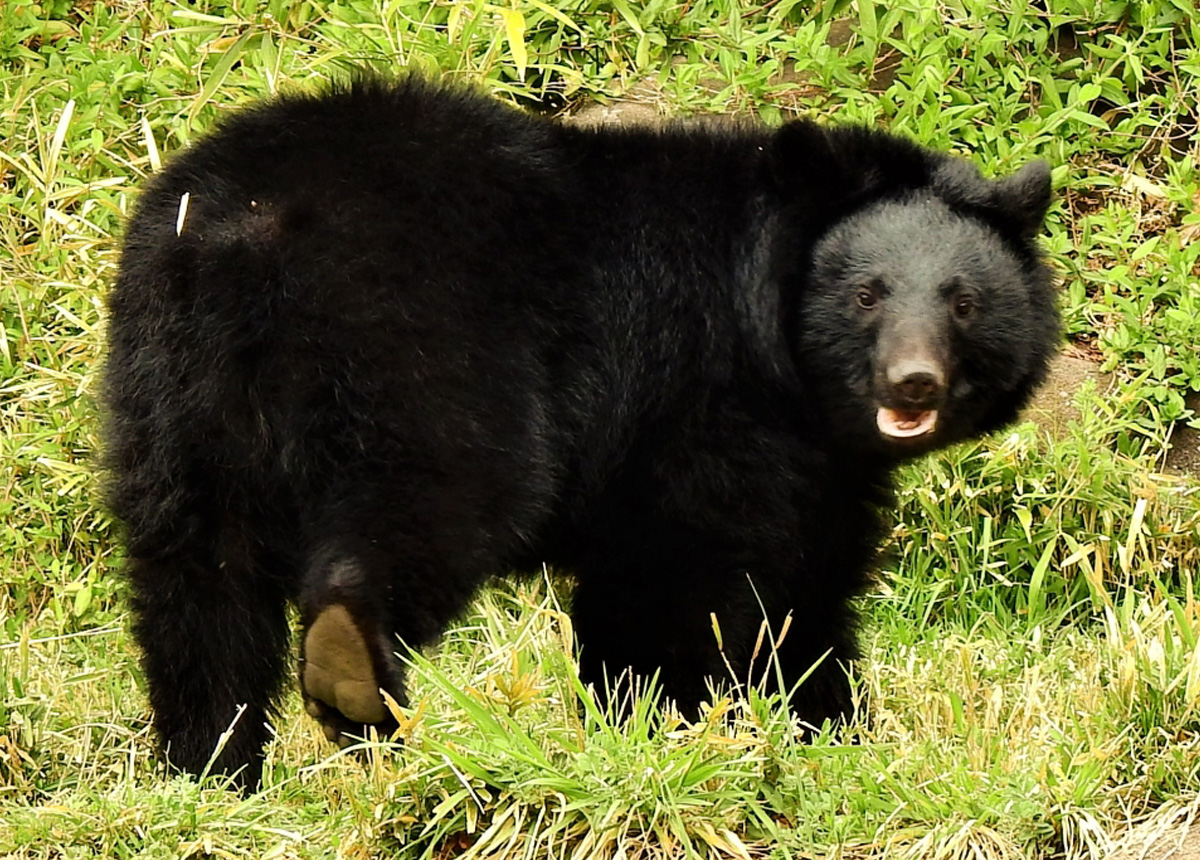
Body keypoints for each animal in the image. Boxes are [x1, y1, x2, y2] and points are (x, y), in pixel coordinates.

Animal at [105, 77, 1060, 786]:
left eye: (964, 303)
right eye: (867, 294)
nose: (913, 382)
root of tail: (247, 230)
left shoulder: (806, 452)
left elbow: (793, 580)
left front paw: (825, 731)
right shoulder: (710, 403)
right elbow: (718, 580)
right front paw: (713, 728)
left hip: (176, 392)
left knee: (197, 575)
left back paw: (211, 763)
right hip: (426, 348)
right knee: (433, 498)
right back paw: (351, 675)